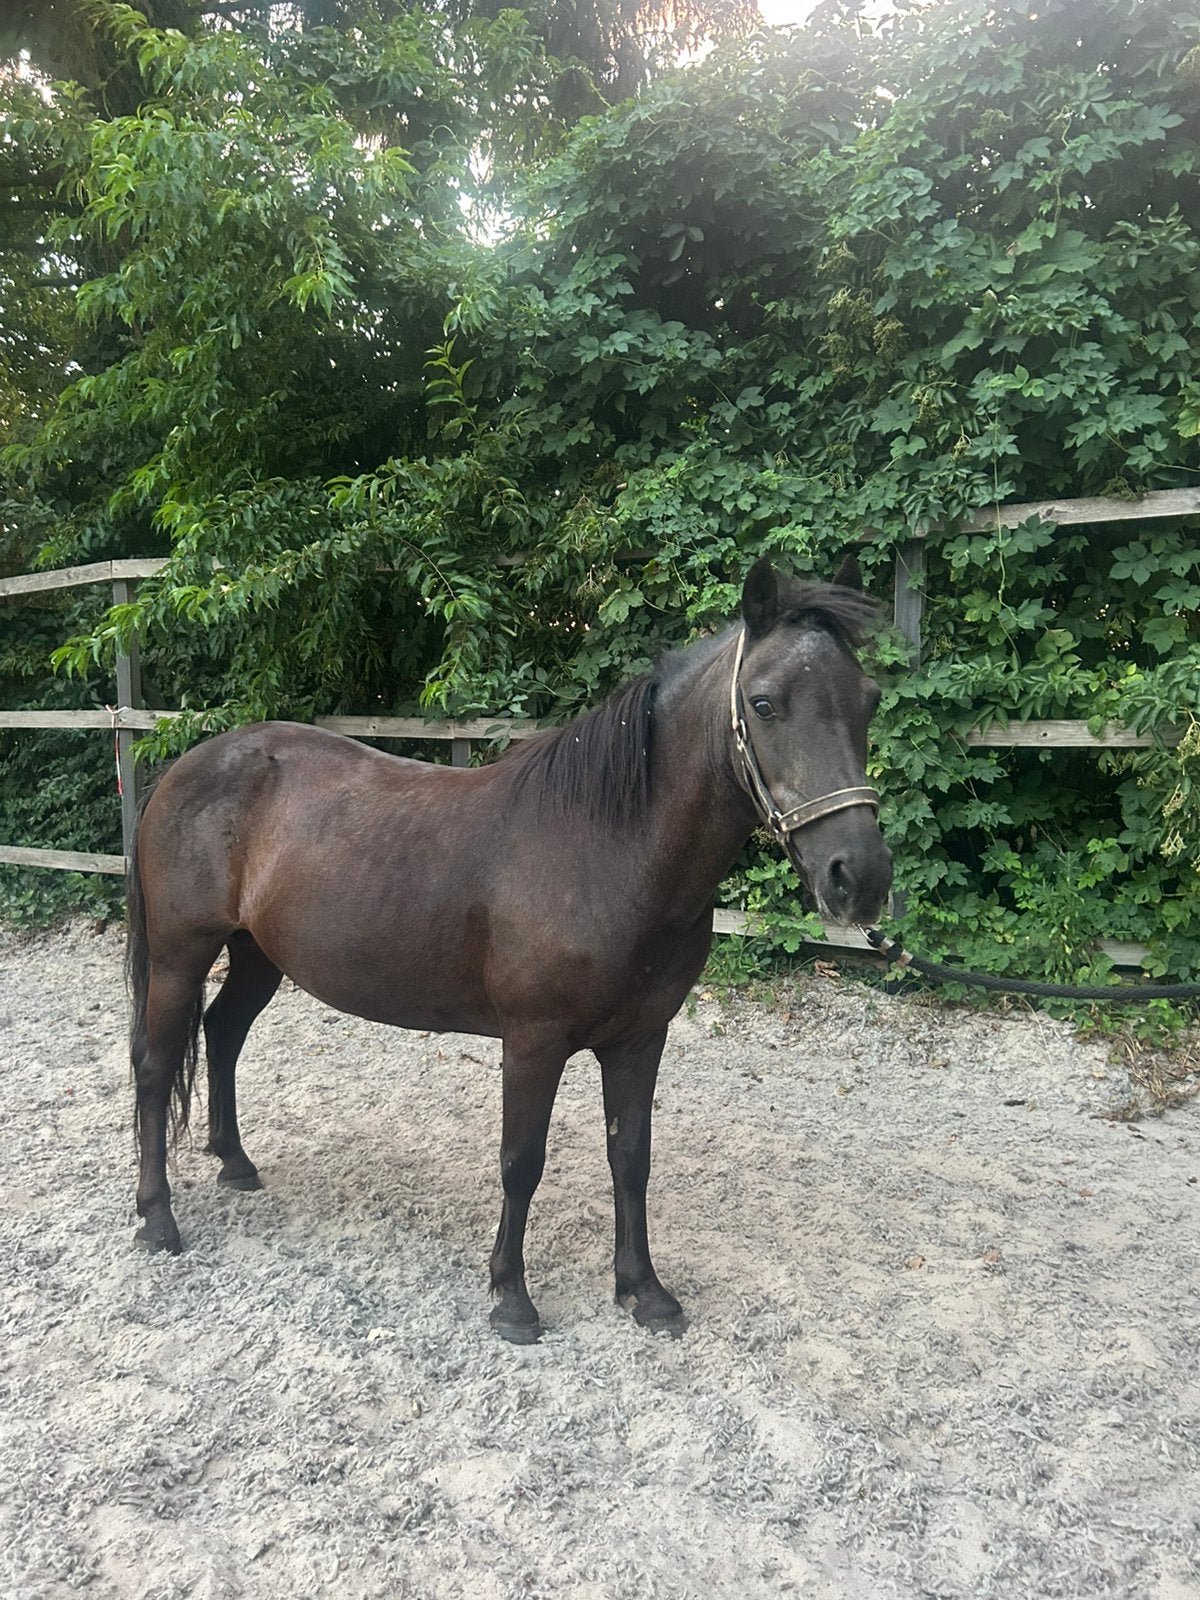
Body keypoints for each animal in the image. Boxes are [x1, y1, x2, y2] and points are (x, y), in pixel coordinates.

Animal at [126, 557, 893, 1340]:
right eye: (764, 704)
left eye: (868, 700)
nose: (859, 876)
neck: (607, 847)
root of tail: (186, 766)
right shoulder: (533, 1040)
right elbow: (522, 1160)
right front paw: (512, 1300)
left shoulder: (640, 1039)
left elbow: (631, 1157)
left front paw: (644, 1292)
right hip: (180, 956)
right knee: (154, 1068)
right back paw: (158, 1220)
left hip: (258, 955)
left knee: (221, 1035)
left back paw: (236, 1163)